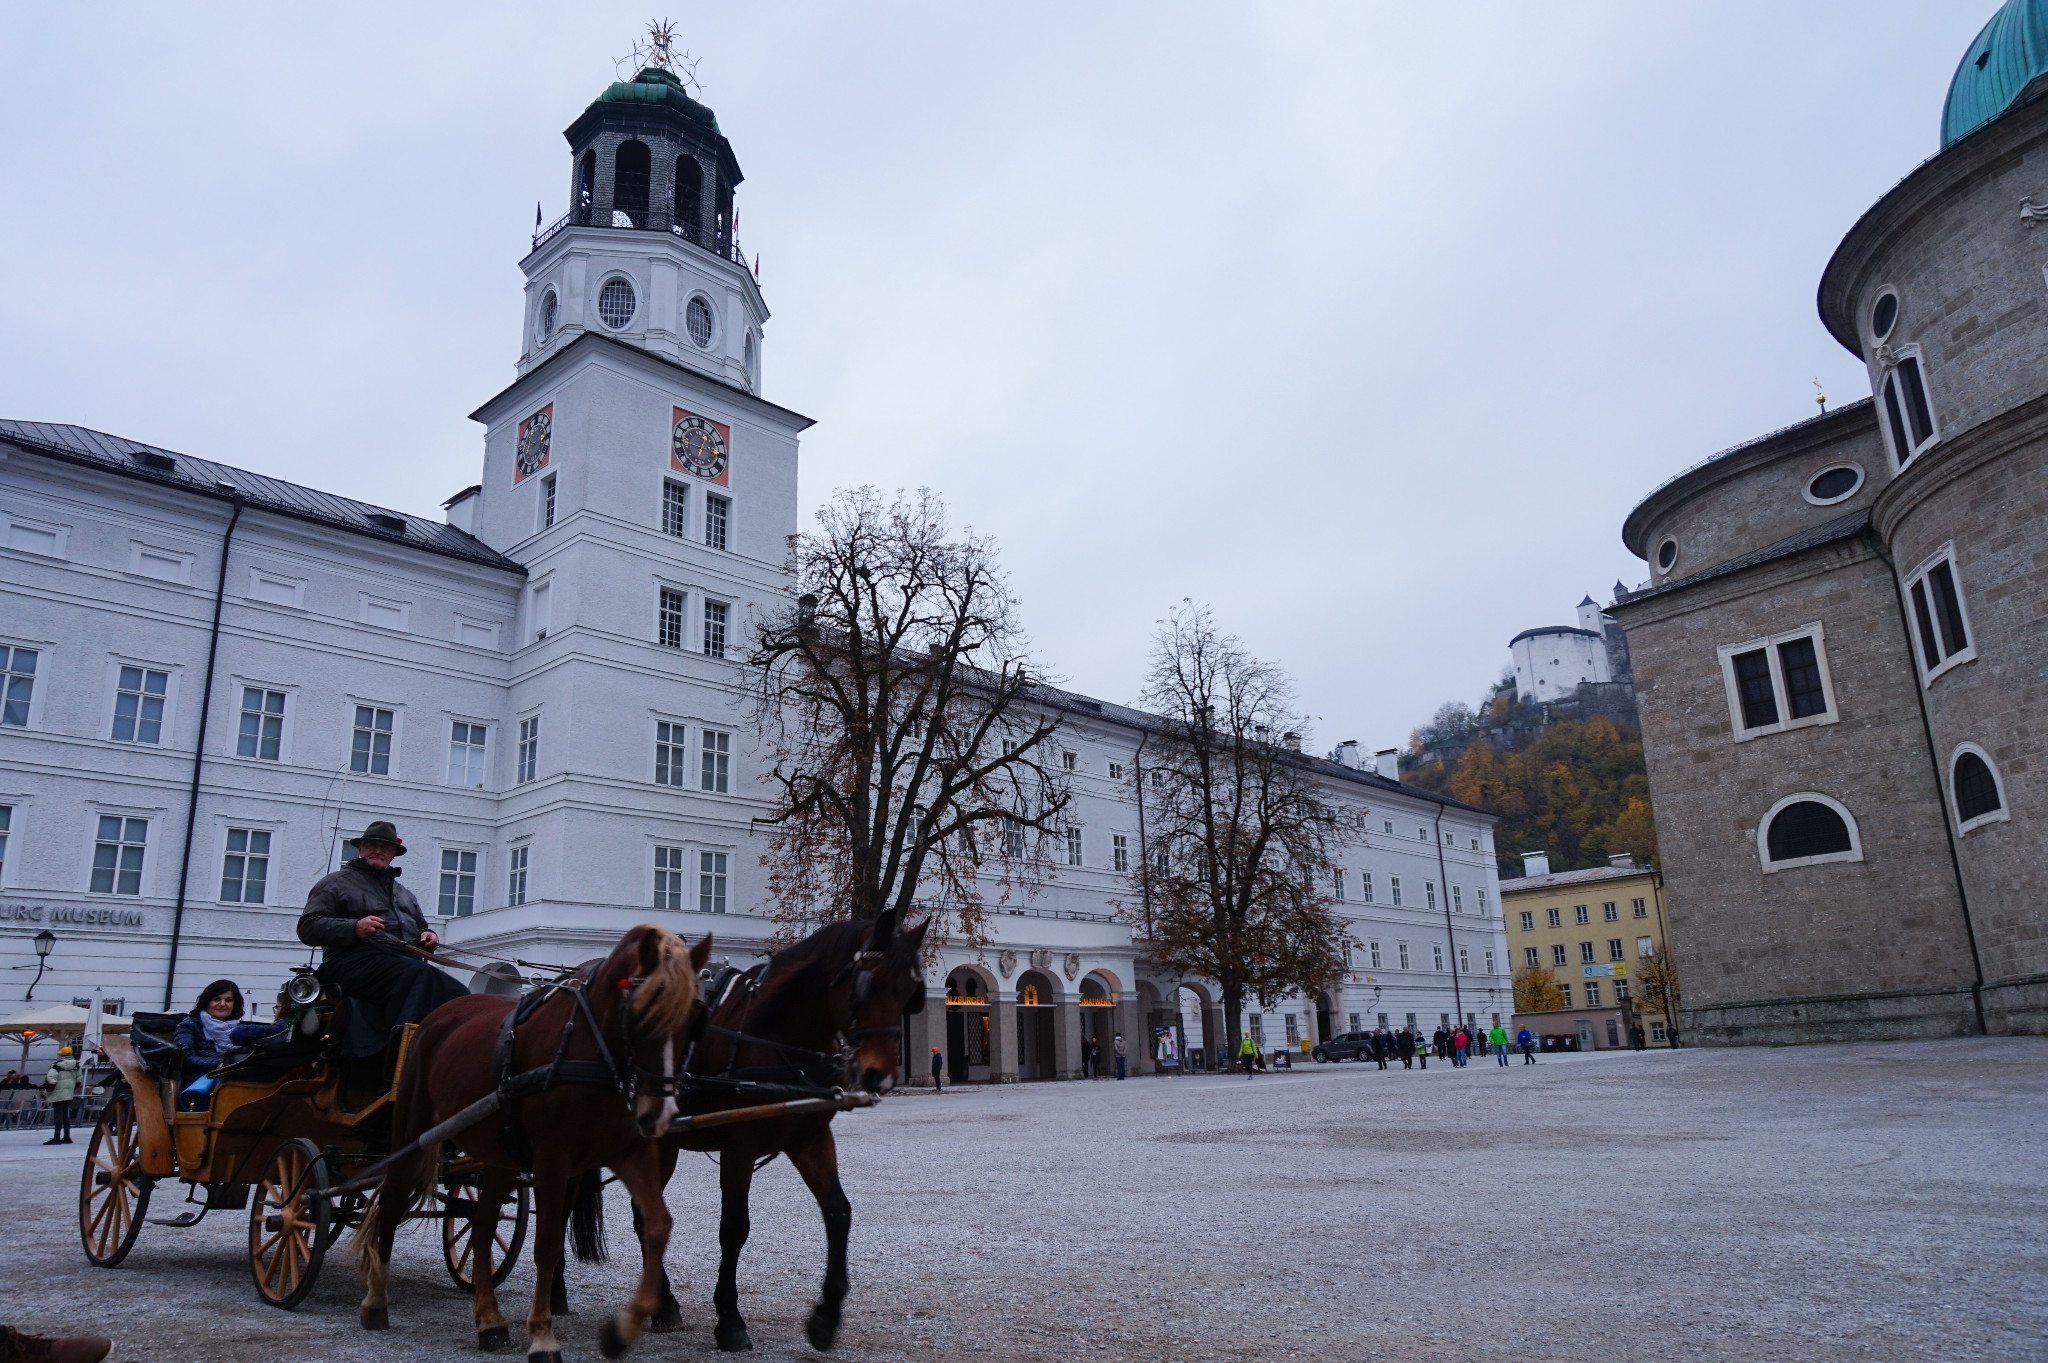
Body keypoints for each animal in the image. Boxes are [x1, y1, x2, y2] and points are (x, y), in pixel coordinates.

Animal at [352, 916, 704, 1350]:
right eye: (642, 1012)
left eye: (696, 1016)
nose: (662, 1112)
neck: (592, 1049)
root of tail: (438, 1015)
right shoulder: (553, 1160)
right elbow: (548, 1243)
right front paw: (542, 1333)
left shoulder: (628, 1153)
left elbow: (657, 1226)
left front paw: (630, 1322)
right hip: (412, 1135)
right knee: (393, 1200)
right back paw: (376, 1301)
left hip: (500, 1154)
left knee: (481, 1225)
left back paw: (489, 1320)